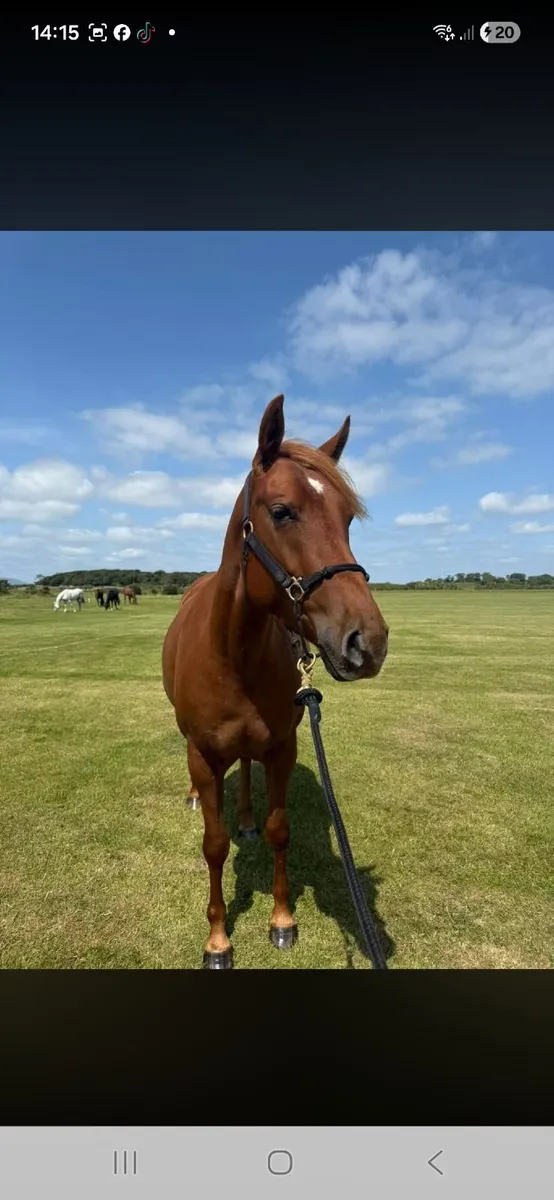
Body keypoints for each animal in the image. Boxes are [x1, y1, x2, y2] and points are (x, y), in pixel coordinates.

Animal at [162, 394, 389, 969]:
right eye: (283, 511)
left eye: (348, 518)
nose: (369, 642)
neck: (233, 652)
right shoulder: (203, 754)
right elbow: (214, 845)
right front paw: (217, 940)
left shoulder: (283, 747)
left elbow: (278, 830)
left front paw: (282, 919)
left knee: (245, 773)